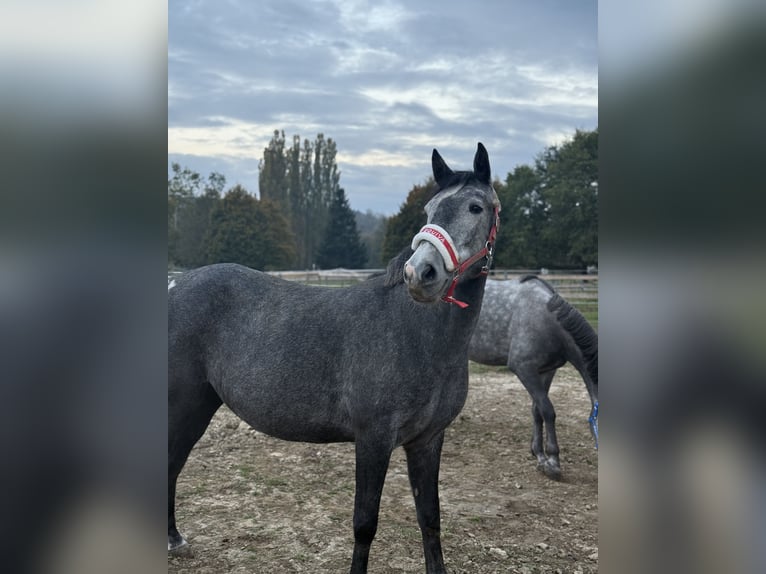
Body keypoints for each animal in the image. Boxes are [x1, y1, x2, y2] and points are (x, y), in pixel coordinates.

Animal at [168, 143, 501, 574]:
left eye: (476, 207)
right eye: (429, 210)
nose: (421, 273)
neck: (418, 336)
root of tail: (175, 284)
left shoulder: (427, 440)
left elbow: (430, 518)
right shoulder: (374, 439)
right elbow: (365, 523)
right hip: (184, 405)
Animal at [467, 275, 598, 480]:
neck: (547, 320)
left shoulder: (547, 371)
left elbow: (537, 411)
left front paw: (538, 454)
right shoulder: (523, 368)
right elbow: (548, 410)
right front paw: (553, 462)